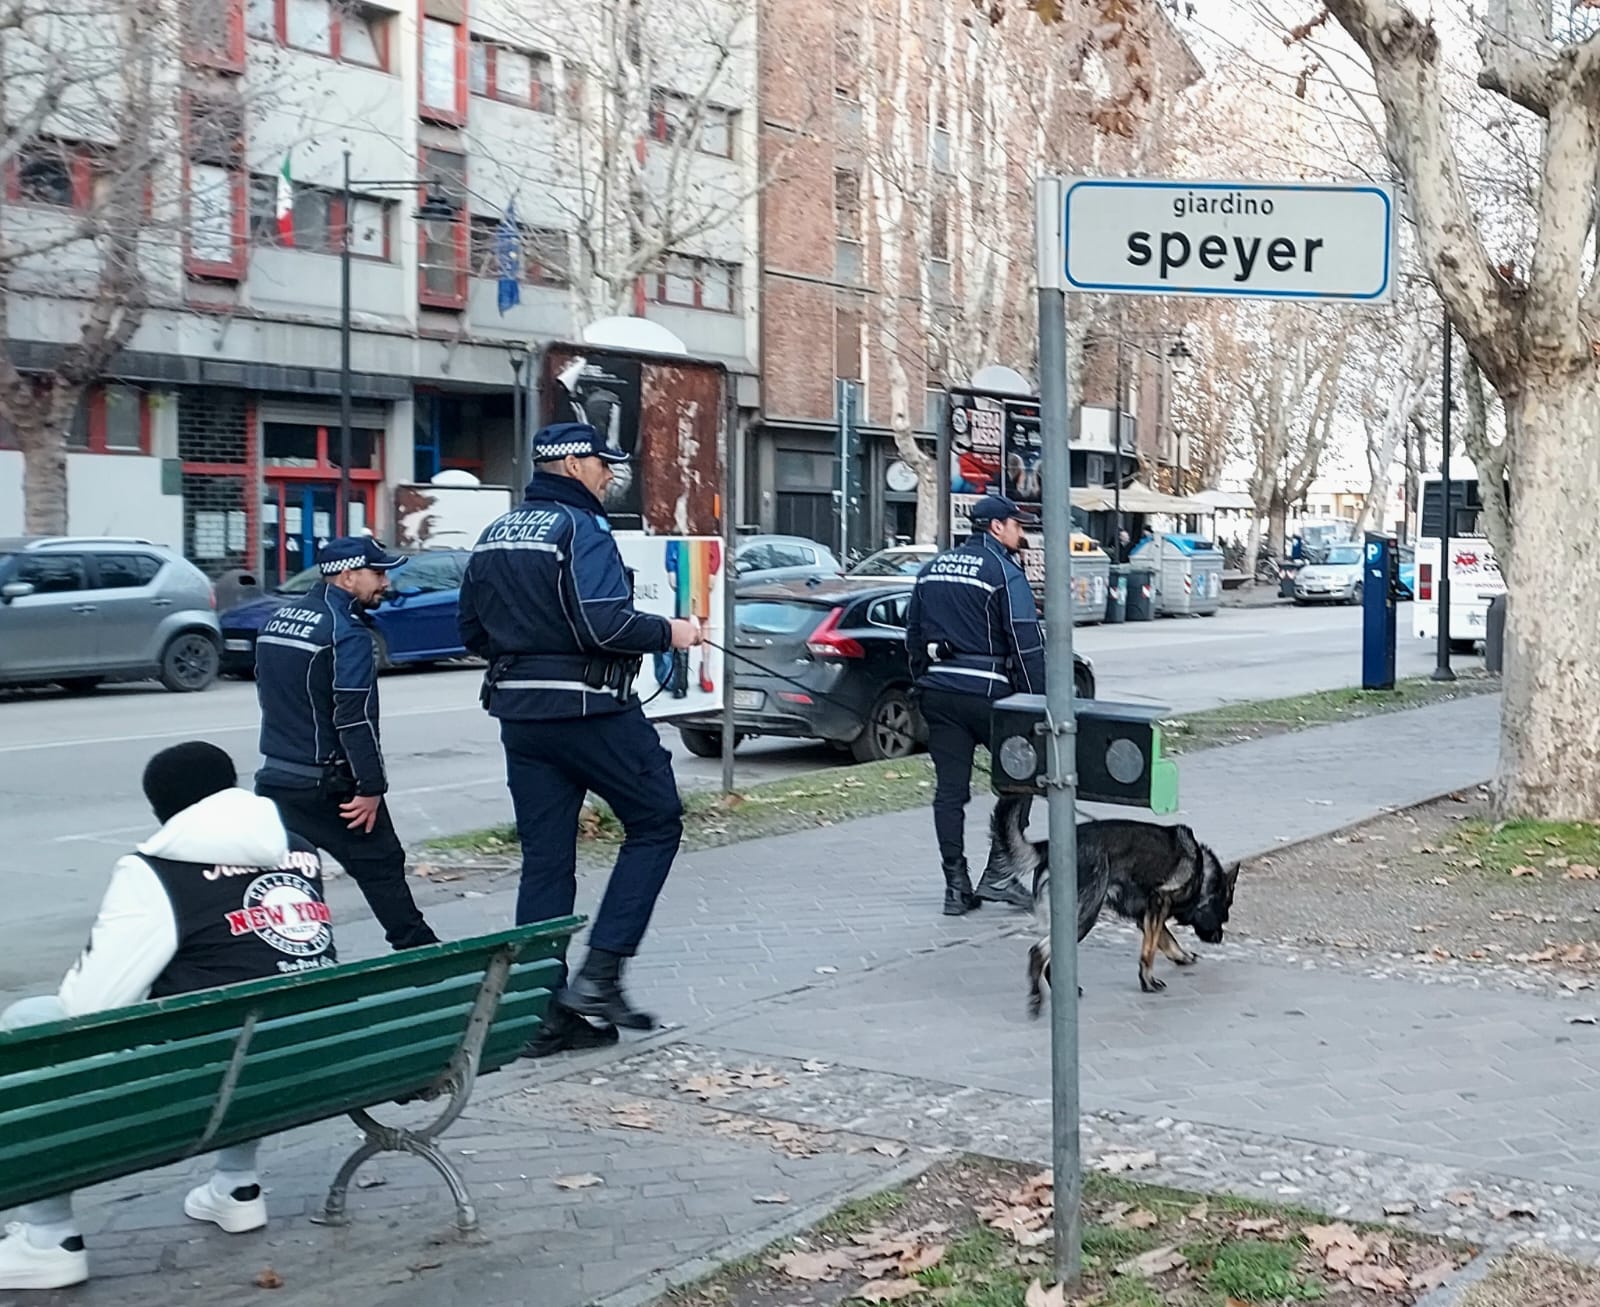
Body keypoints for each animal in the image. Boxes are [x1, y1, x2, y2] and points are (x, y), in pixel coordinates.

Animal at [979, 796, 1241, 998]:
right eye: (1224, 913)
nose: (1219, 939)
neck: (1202, 872)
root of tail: (1047, 846)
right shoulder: (1158, 904)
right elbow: (1149, 951)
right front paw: (1147, 982)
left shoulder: (1146, 915)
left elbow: (1166, 940)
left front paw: (1181, 956)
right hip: (1083, 918)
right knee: (1040, 953)